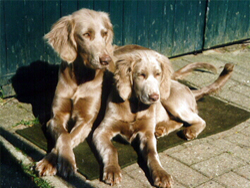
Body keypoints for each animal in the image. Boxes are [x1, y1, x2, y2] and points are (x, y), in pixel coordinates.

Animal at [36, 8, 115, 177]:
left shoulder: (86, 121)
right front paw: (53, 162)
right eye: (86, 34)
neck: (80, 78)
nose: (106, 60)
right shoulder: (55, 117)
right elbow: (64, 135)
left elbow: (70, 136)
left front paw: (59, 162)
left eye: (104, 33)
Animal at [93, 44, 233, 187]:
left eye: (158, 74)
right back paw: (162, 128)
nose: (155, 97)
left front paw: (161, 174)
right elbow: (111, 149)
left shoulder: (147, 133)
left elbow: (152, 153)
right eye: (141, 75)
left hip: (172, 102)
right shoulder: (101, 131)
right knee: (179, 121)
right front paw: (112, 170)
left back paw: (189, 131)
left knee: (199, 120)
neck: (135, 107)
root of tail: (189, 89)